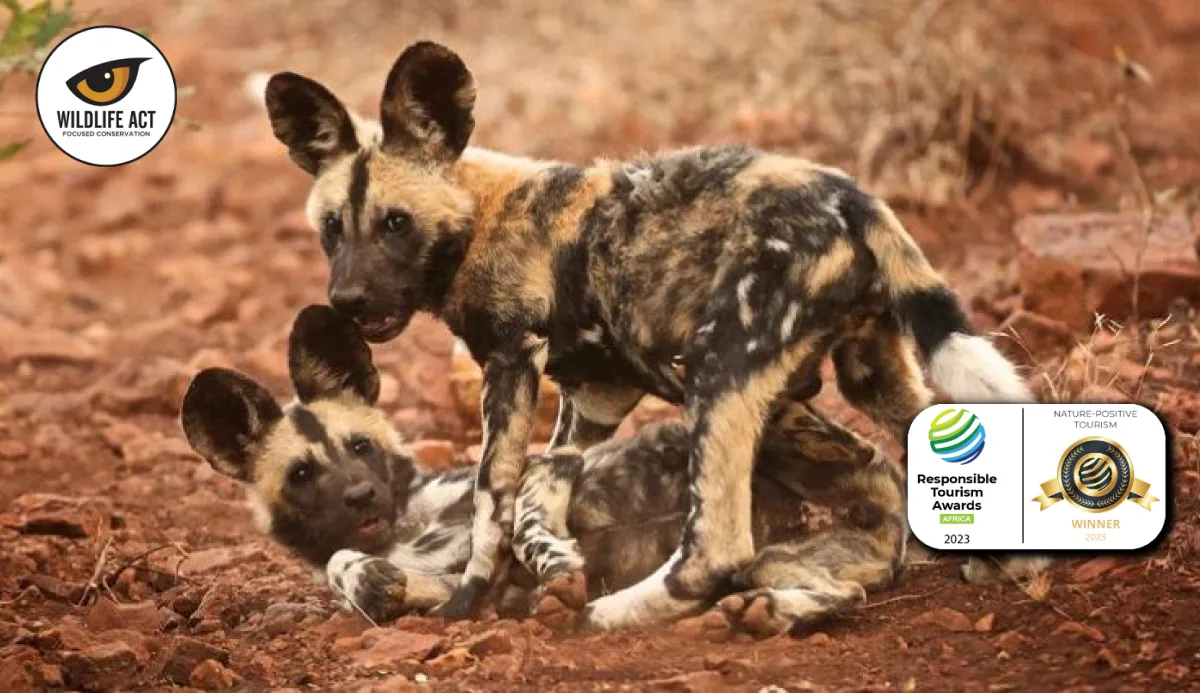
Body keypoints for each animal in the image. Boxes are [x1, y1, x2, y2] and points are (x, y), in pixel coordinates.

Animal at [179, 305, 907, 635]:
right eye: (303, 475)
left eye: (359, 447)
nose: (361, 494)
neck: (402, 529)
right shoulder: (461, 589)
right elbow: (347, 565)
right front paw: (369, 580)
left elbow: (526, 517)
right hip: (780, 559)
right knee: (844, 592)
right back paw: (772, 613)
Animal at [261, 41, 1042, 628]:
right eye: (332, 229)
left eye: (396, 223)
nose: (347, 301)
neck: (480, 217)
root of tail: (851, 195)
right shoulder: (595, 396)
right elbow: (539, 491)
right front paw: (553, 565)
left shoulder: (510, 368)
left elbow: (491, 497)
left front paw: (465, 603)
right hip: (871, 373)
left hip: (719, 371)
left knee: (717, 550)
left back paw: (610, 615)